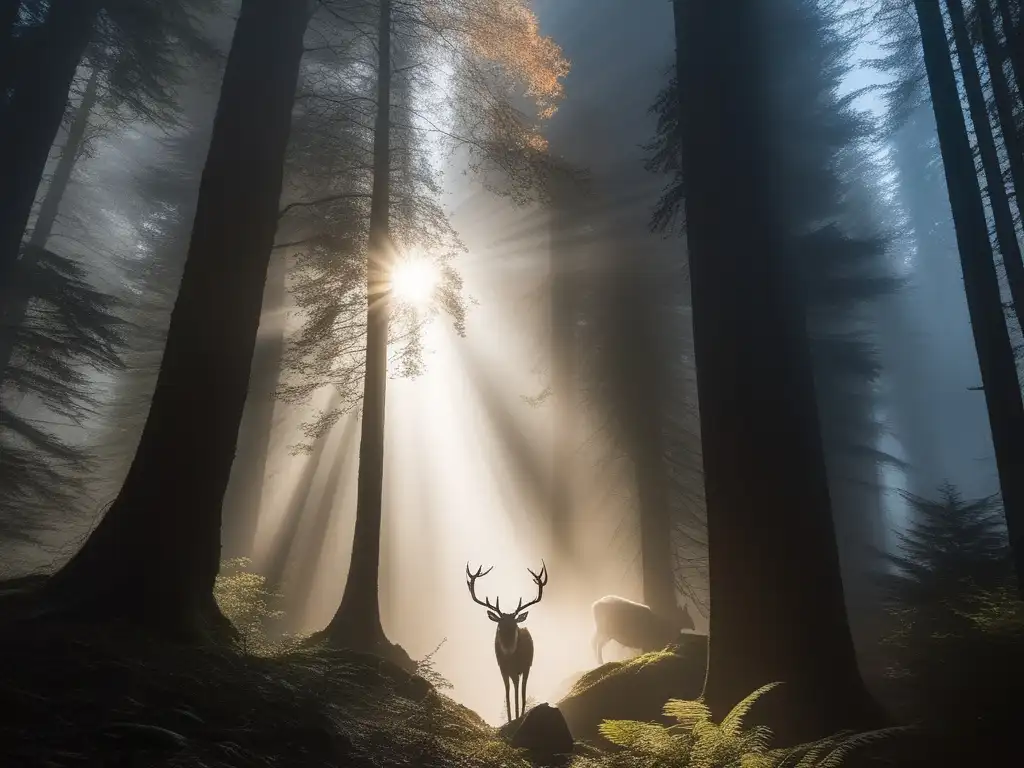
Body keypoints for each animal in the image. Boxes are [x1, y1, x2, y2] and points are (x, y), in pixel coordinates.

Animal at [466, 561, 548, 724]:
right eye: (499, 626)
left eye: (514, 626)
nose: (508, 646)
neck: (510, 659)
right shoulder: (502, 668)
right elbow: (507, 691)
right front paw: (510, 719)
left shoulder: (519, 668)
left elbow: (518, 691)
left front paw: (517, 716)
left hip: (527, 666)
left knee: (522, 689)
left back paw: (521, 713)